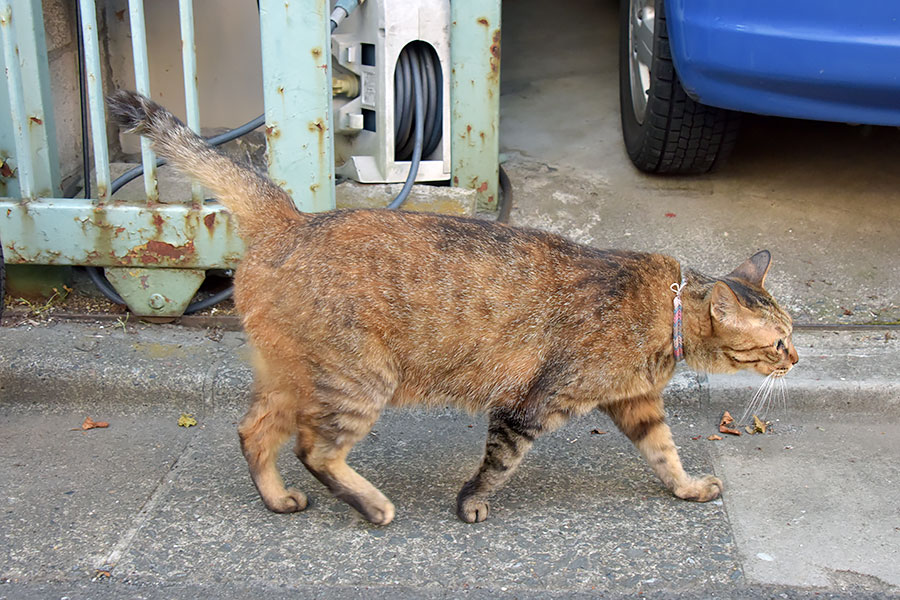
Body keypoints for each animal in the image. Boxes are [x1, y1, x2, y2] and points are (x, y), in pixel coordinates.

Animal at [109, 90, 800, 524]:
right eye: (777, 341)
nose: (797, 358)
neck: (668, 314)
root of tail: (292, 219)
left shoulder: (637, 406)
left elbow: (666, 454)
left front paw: (688, 487)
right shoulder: (529, 406)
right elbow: (497, 465)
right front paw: (471, 503)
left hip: (293, 377)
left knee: (255, 432)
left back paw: (280, 500)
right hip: (361, 379)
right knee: (315, 449)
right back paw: (372, 505)